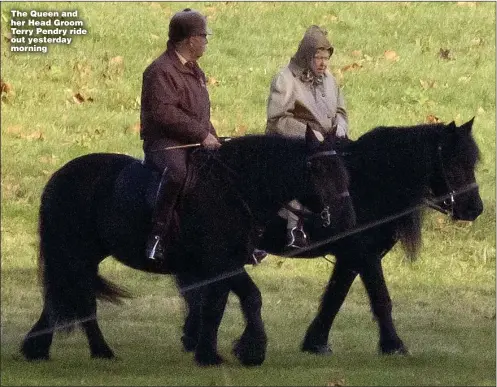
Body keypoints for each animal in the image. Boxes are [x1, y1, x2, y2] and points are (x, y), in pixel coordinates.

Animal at [21, 128, 354, 366]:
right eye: (318, 169)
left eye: (342, 167)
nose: (346, 216)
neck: (235, 189)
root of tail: (58, 178)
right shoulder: (221, 261)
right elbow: (244, 299)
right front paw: (245, 351)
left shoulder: (225, 263)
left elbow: (222, 304)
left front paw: (216, 352)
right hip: (73, 255)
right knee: (76, 299)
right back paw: (95, 351)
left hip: (82, 257)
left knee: (65, 298)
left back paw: (41, 349)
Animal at [174, 118, 480, 358]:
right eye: (454, 163)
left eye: (472, 163)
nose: (475, 209)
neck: (369, 182)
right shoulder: (364, 255)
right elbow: (380, 298)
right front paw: (393, 345)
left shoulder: (351, 258)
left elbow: (335, 297)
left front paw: (316, 342)